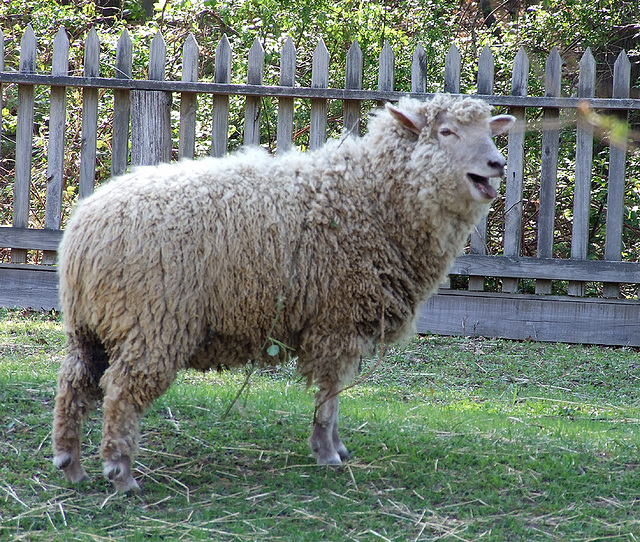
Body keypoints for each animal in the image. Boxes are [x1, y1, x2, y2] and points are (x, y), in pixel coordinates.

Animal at [52, 95, 516, 496]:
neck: (373, 195)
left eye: (486, 131)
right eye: (446, 131)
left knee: (75, 384)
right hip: (152, 320)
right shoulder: (337, 319)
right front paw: (327, 453)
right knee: (121, 390)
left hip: (89, 325)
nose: (498, 164)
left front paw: (336, 446)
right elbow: (329, 394)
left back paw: (70, 464)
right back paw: (121, 473)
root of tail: (85, 229)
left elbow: (336, 394)